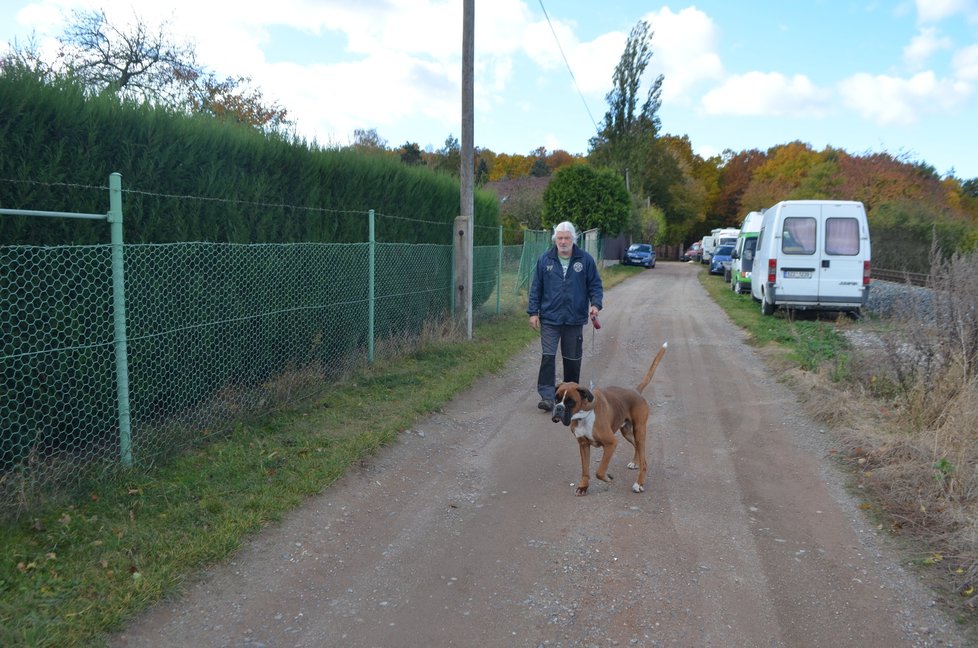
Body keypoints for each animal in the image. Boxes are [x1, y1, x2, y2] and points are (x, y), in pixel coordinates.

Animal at [548, 344, 664, 496]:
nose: (559, 408)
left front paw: (608, 477)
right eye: (556, 398)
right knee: (637, 448)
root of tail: (636, 391)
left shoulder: (611, 443)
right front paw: (583, 487)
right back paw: (635, 462)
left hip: (639, 430)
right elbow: (585, 470)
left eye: (570, 402)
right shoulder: (583, 445)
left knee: (643, 458)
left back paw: (639, 483)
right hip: (626, 431)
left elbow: (600, 471)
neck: (584, 416)